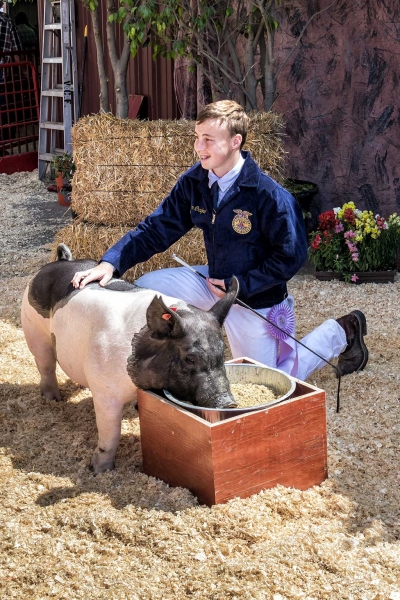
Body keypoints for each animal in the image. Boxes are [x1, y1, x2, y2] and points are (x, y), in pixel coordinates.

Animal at [21, 244, 238, 474]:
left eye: (222, 351)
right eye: (190, 358)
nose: (229, 402)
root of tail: (60, 261)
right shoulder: (105, 393)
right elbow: (111, 434)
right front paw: (99, 471)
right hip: (33, 328)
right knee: (45, 364)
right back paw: (52, 399)